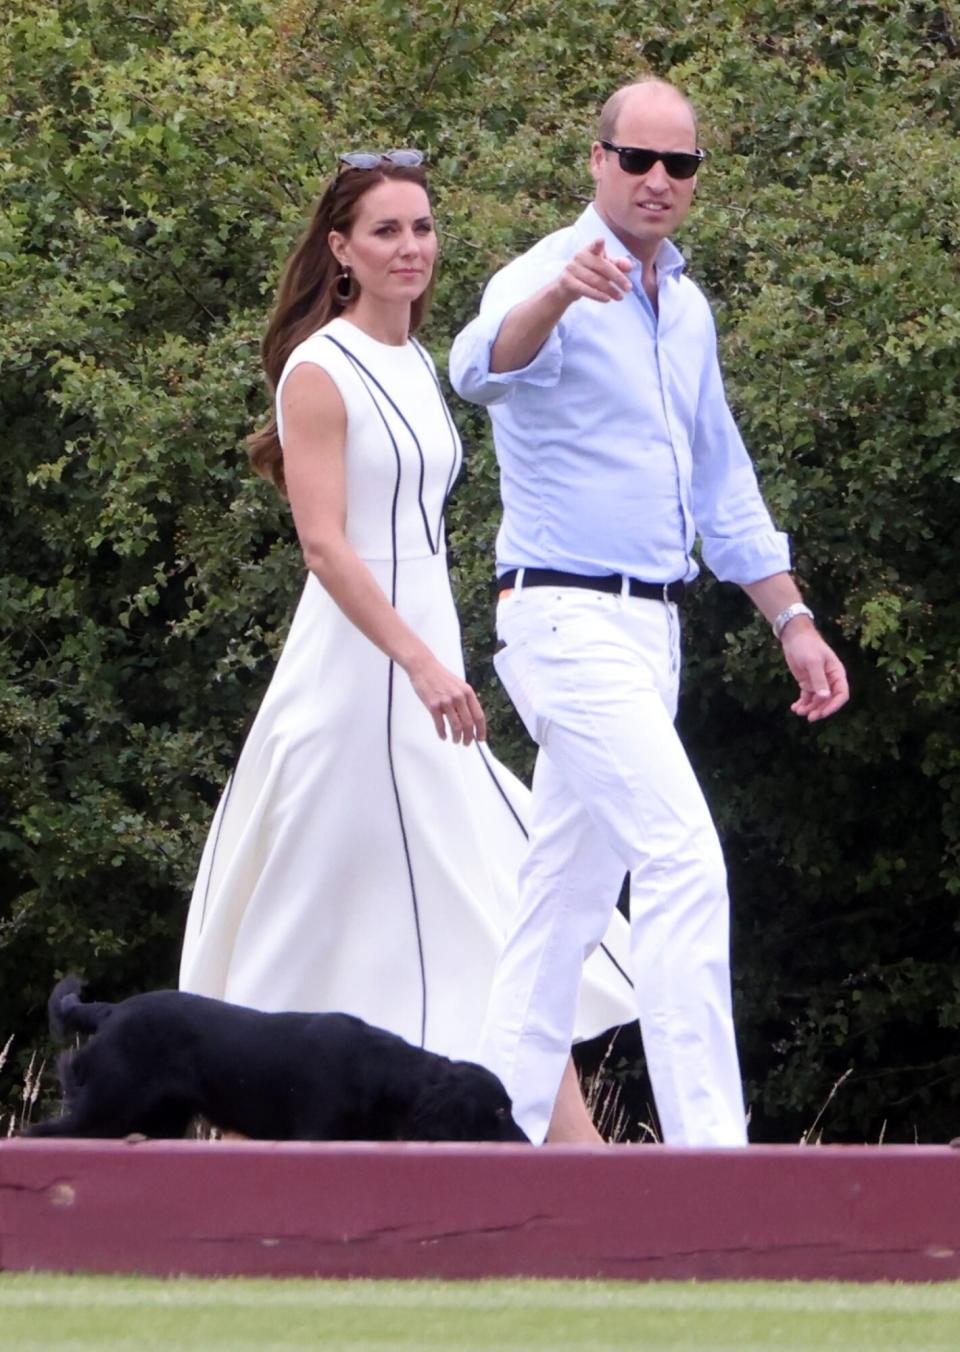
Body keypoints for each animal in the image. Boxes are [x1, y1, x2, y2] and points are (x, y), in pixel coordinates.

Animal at [28, 978, 527, 1146]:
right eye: (500, 1111)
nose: (527, 1147)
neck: (378, 1072)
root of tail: (109, 1011)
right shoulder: (317, 1135)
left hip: (157, 1122)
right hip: (105, 1110)